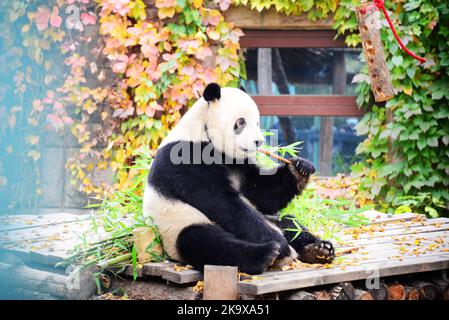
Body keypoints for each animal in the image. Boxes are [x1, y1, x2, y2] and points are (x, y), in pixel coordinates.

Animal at [143, 83, 332, 276]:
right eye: (241, 122)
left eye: (257, 122)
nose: (258, 141)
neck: (203, 132)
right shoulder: (186, 160)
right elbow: (223, 203)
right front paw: (280, 244)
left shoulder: (240, 165)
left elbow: (261, 193)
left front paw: (300, 168)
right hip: (177, 225)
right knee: (204, 241)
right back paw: (267, 254)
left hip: (270, 218)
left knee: (289, 222)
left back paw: (318, 250)